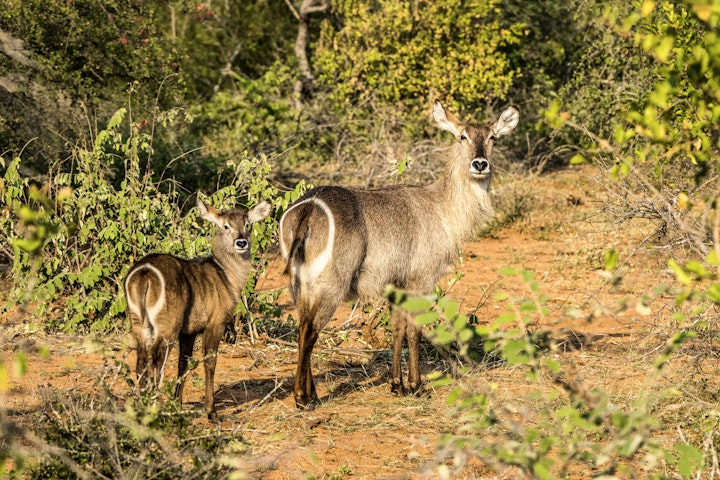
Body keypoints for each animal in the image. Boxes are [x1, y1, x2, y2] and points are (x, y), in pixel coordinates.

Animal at [125, 198, 272, 420]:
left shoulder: (188, 332)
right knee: (156, 364)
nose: (241, 242)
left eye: (247, 224)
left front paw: (177, 405)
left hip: (139, 326)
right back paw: (156, 411)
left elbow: (183, 364)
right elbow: (210, 362)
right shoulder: (215, 323)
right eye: (226, 226)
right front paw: (211, 411)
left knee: (141, 364)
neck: (226, 274)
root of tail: (144, 272)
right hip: (166, 328)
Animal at [278, 101, 520, 408]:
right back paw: (303, 398)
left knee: (302, 327)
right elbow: (414, 331)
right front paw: (416, 386)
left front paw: (396, 385)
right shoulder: (421, 280)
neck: (443, 209)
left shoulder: (395, 286)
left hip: (299, 284)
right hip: (331, 283)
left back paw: (314, 394)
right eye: (461, 137)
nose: (480, 164)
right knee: (310, 331)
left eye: (492, 138)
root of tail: (308, 208)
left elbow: (397, 329)